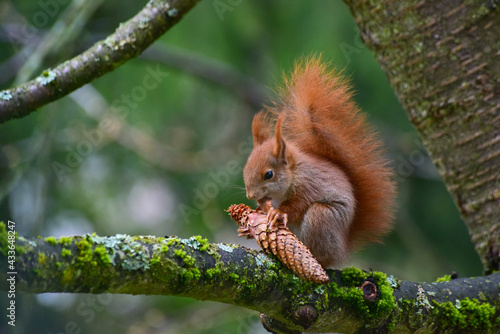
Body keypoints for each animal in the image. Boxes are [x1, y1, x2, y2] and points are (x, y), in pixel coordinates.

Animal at [242, 56, 394, 268]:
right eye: (246, 167)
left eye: (269, 174)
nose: (250, 195)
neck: (295, 173)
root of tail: (342, 249)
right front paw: (249, 224)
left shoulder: (310, 186)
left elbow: (297, 207)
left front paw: (278, 213)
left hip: (321, 218)